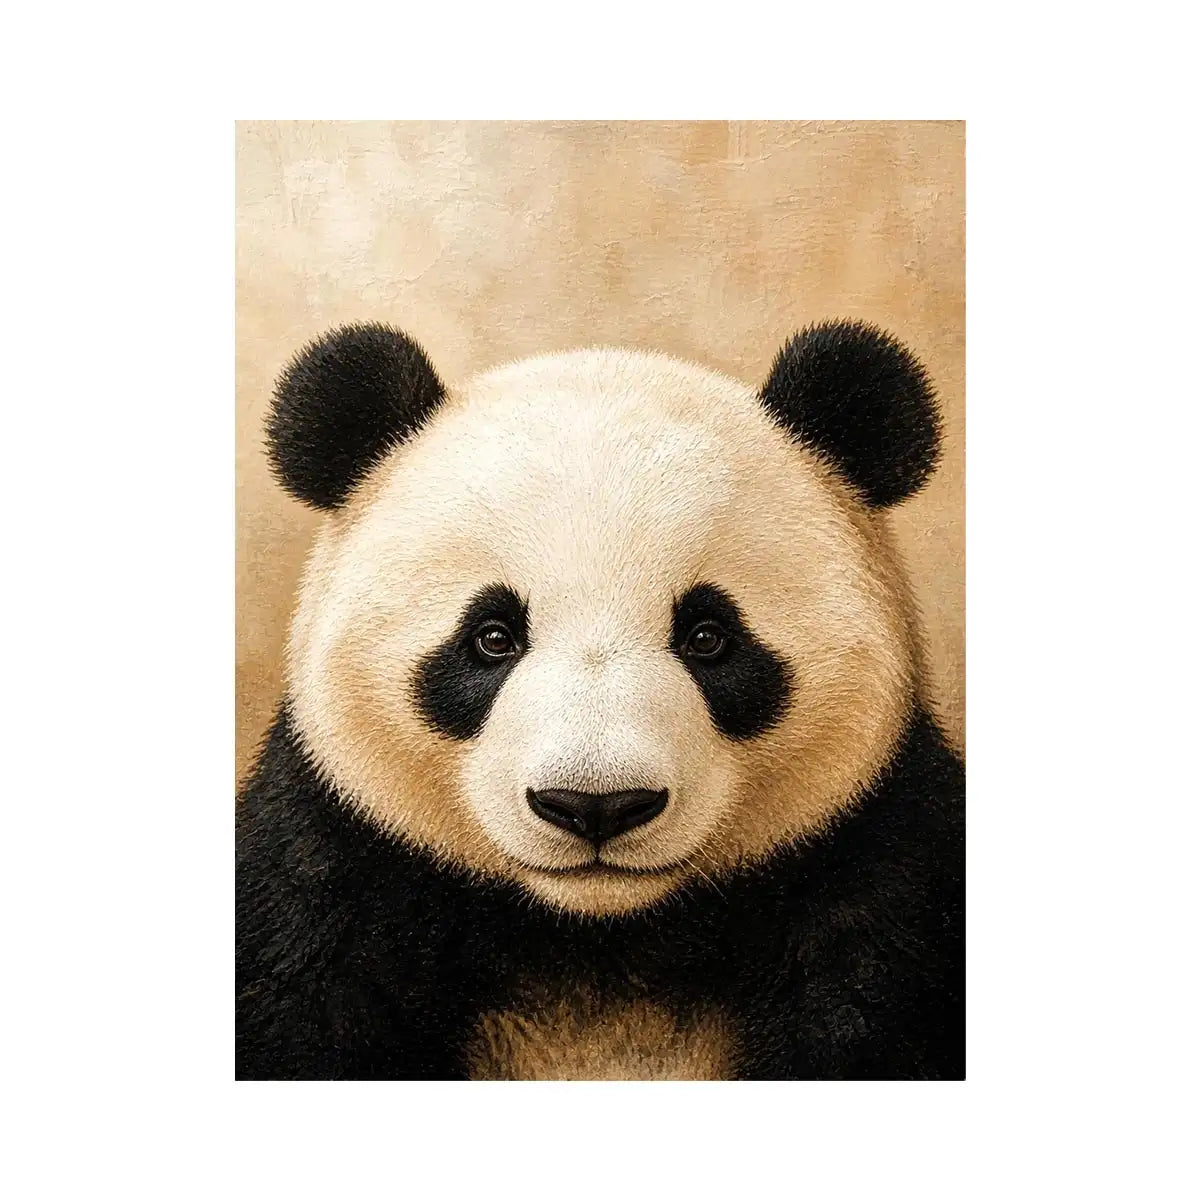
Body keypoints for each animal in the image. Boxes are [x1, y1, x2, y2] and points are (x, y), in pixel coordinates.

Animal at [236, 319, 965, 1080]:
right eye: (491, 636)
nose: (595, 805)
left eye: (709, 636)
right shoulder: (331, 875)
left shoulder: (882, 877)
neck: (598, 938)